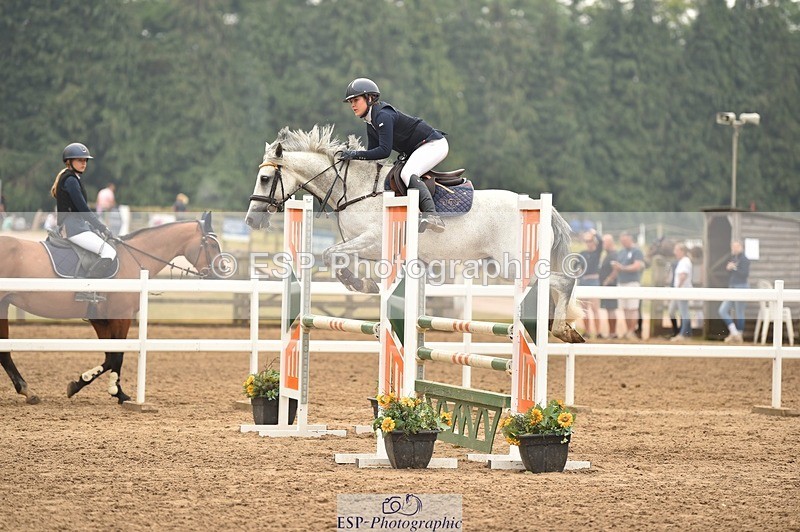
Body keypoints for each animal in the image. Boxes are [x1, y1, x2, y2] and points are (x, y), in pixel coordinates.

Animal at [0, 212, 224, 405]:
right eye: (212, 244)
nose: (220, 273)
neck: (130, 260)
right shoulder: (121, 316)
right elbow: (117, 355)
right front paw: (118, 393)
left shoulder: (101, 319)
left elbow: (109, 356)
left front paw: (78, 384)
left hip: (3, 305)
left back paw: (27, 391)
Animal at [245, 125, 584, 343]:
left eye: (265, 178)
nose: (251, 220)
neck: (352, 189)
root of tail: (540, 206)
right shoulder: (363, 245)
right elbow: (335, 256)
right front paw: (361, 283)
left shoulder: (374, 241)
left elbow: (332, 254)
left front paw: (361, 283)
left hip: (514, 262)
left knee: (563, 281)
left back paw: (564, 330)